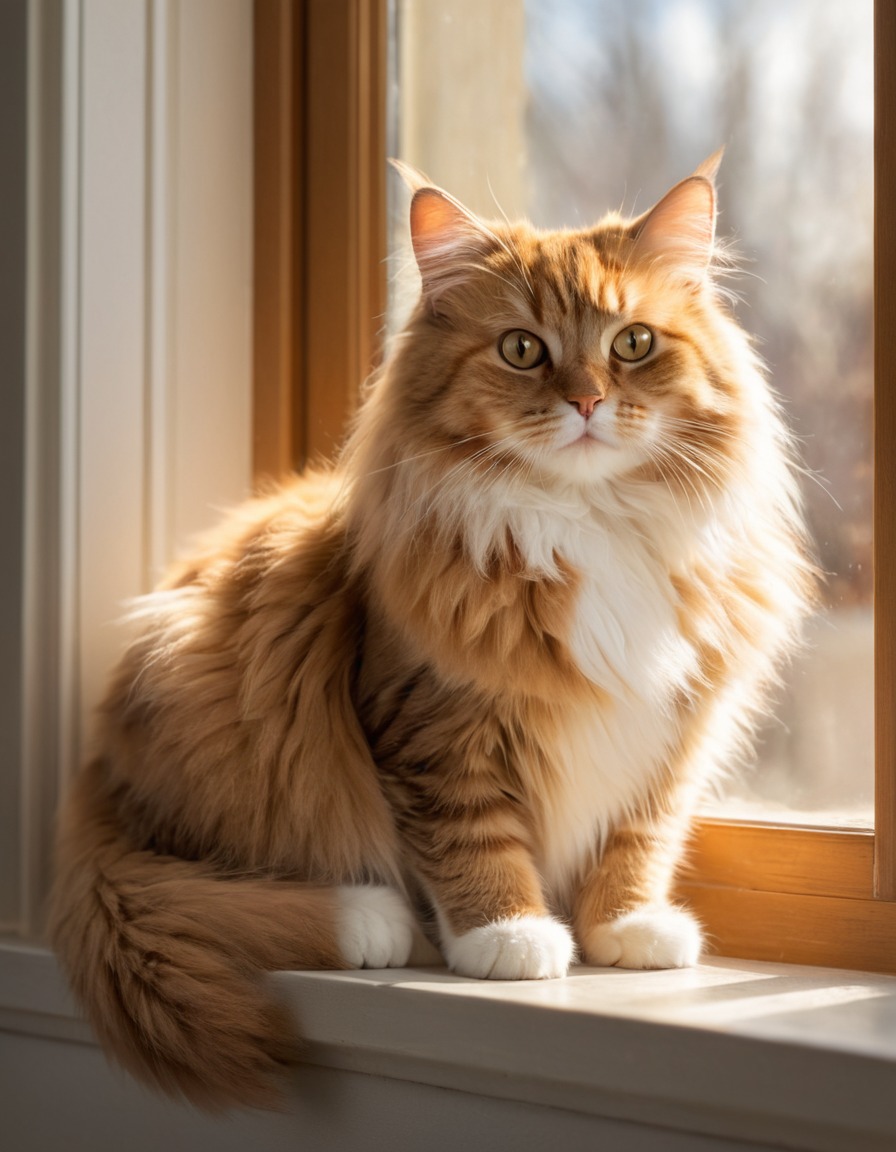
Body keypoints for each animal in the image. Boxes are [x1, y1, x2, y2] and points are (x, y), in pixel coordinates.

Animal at [50, 153, 815, 1105]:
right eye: (522, 349)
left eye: (633, 343)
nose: (588, 401)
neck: (588, 524)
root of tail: (95, 780)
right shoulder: (431, 721)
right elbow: (473, 838)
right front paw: (510, 936)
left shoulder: (671, 733)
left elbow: (639, 838)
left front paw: (626, 927)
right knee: (198, 881)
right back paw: (371, 921)